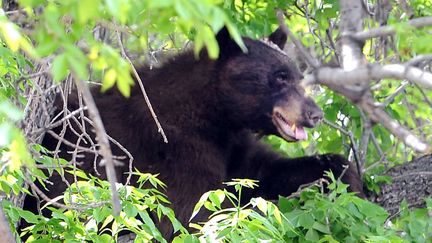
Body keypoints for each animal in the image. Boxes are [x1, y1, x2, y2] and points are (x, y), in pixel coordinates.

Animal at [37, 27, 362, 237]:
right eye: (280, 77)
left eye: (296, 75)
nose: (315, 114)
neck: (214, 114)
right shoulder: (177, 149)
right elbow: (194, 211)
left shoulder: (235, 147)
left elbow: (267, 173)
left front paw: (349, 180)